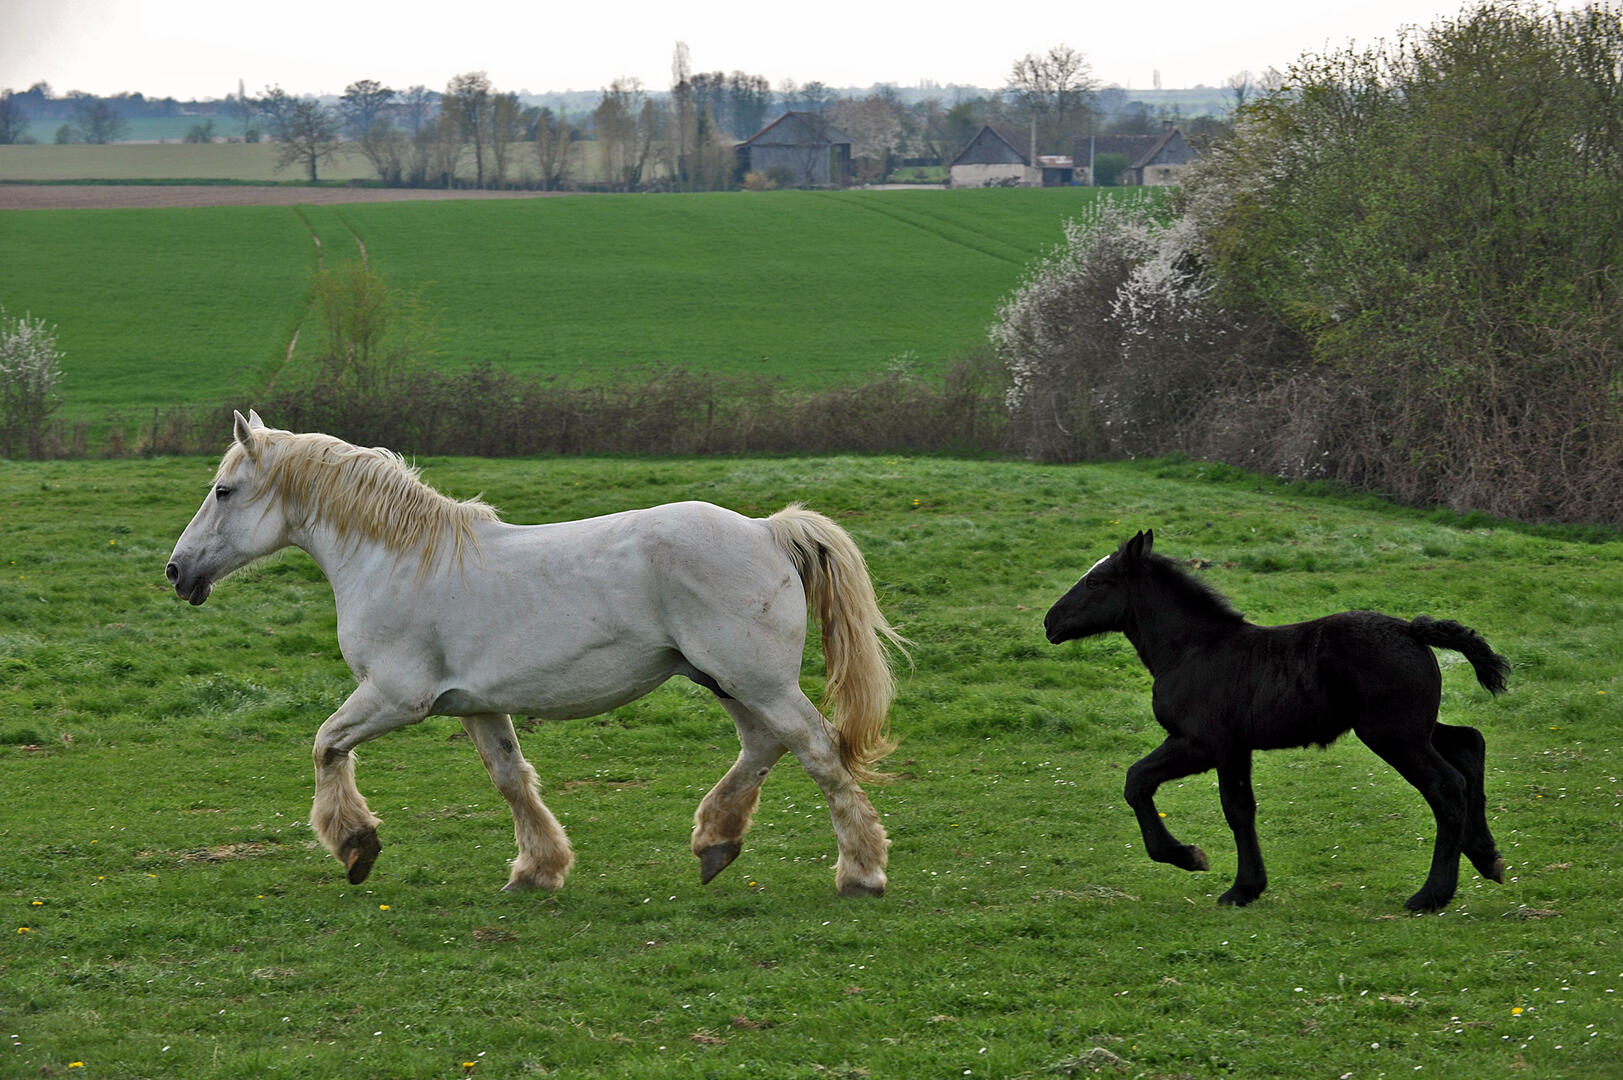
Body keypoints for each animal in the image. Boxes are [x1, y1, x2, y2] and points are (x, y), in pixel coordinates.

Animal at [165, 410, 907, 897]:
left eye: (224, 490)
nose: (177, 572)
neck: (395, 561)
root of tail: (765, 529)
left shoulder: (395, 697)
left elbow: (325, 744)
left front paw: (356, 846)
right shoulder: (476, 705)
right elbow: (511, 779)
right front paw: (537, 869)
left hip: (755, 680)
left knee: (817, 750)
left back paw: (861, 872)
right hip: (727, 679)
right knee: (764, 746)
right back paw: (715, 843)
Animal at [1043, 530, 1510, 911]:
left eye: (1095, 582)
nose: (1050, 622)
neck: (1193, 649)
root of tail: (1412, 630)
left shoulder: (1205, 744)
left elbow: (1149, 783)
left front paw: (1205, 867)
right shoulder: (1231, 748)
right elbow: (1235, 808)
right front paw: (1244, 884)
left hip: (1394, 735)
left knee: (1446, 786)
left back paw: (1431, 895)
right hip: (1414, 728)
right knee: (1469, 745)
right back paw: (1487, 857)